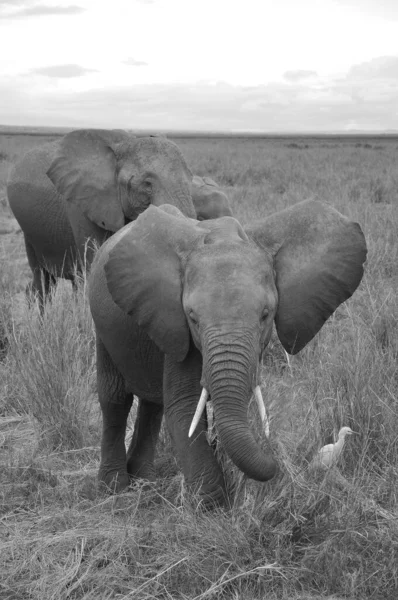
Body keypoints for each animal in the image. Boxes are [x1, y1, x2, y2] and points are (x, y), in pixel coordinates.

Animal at [88, 200, 366, 506]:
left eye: (266, 314)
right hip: (102, 325)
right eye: (193, 317)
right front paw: (210, 505)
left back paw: (145, 481)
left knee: (152, 404)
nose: (276, 457)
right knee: (115, 399)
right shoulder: (176, 325)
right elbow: (185, 407)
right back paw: (114, 488)